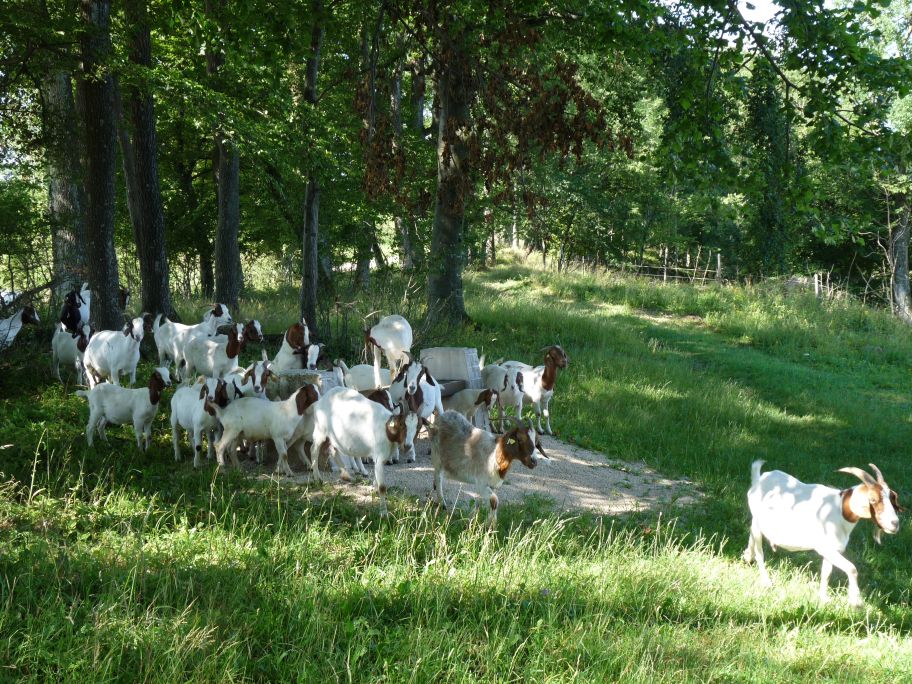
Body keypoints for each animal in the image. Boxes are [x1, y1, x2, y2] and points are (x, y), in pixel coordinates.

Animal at [310, 386, 420, 515]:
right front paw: (384, 513)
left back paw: (346, 476)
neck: (386, 429)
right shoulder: (379, 456)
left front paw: (374, 489)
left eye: (416, 427)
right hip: (320, 429)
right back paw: (318, 479)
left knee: (333, 450)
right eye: (402, 424)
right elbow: (382, 487)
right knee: (314, 450)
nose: (407, 445)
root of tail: (324, 397)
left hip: (335, 435)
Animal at [744, 460, 902, 607]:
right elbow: (852, 568)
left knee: (752, 534)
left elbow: (826, 573)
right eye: (873, 499)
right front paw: (856, 602)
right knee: (759, 551)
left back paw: (747, 556)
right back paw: (765, 581)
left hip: (757, 522)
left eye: (892, 498)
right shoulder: (824, 548)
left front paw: (823, 599)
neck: (838, 510)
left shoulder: (833, 550)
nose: (894, 524)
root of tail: (759, 479)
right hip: (758, 523)